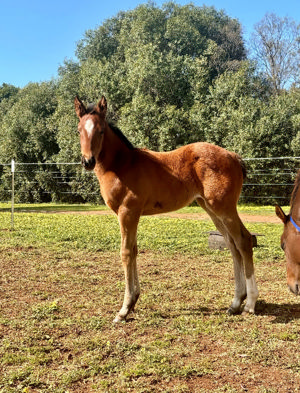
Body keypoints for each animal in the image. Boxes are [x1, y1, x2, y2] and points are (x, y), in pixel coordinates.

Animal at [74, 95, 258, 322]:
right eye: (78, 130)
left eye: (100, 130)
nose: (88, 161)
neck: (122, 164)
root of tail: (233, 156)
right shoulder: (132, 214)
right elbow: (134, 250)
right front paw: (133, 301)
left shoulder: (127, 212)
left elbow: (126, 252)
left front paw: (124, 309)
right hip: (211, 208)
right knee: (232, 245)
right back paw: (235, 302)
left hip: (224, 207)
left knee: (244, 240)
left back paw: (249, 304)